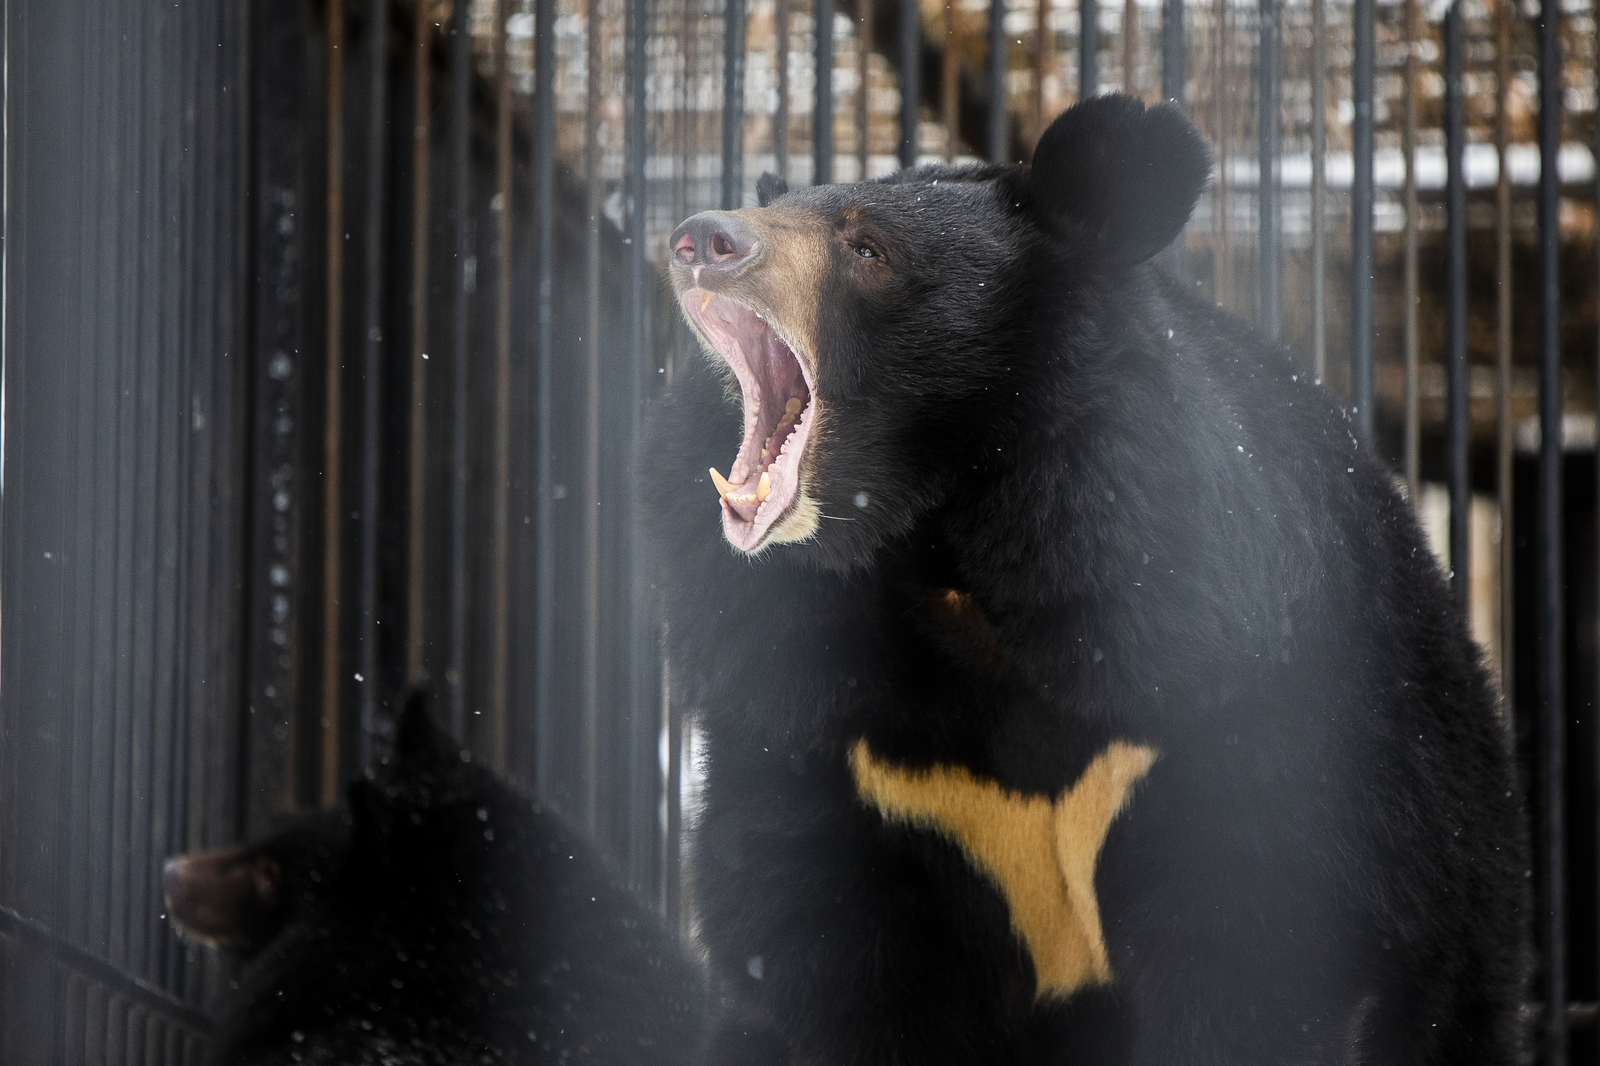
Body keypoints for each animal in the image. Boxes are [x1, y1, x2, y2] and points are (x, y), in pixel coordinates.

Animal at [643, 93, 1529, 1062]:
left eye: (868, 248)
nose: (702, 238)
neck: (954, 572)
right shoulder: (827, 740)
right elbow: (819, 956)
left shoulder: (1237, 698)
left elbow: (1262, 960)